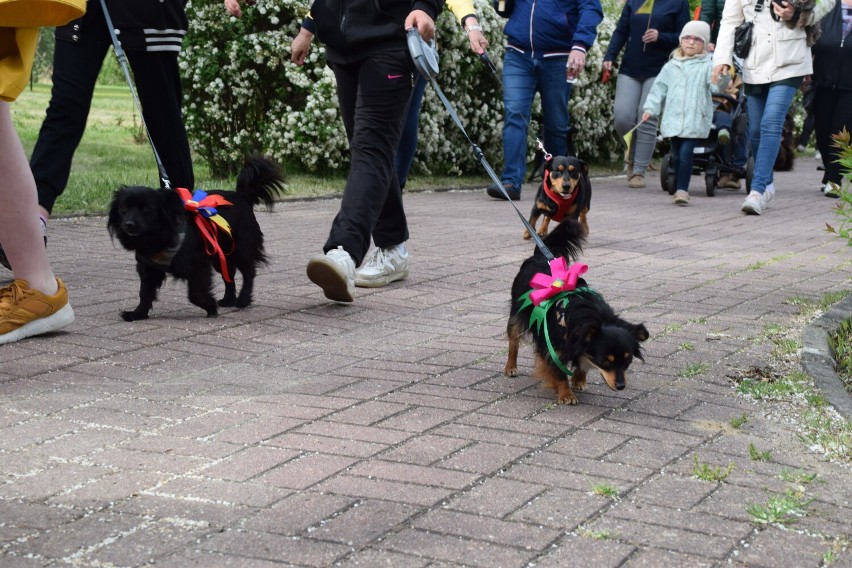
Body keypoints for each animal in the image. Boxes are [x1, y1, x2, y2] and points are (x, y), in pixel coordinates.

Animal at [106, 155, 284, 322]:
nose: (128, 224)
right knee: (229, 276)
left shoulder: (198, 266)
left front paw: (210, 307)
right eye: (123, 208)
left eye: (146, 209)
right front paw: (137, 314)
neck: (158, 238)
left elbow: (194, 294)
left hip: (242, 250)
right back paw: (228, 299)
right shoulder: (148, 268)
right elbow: (144, 293)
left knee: (248, 274)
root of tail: (242, 196)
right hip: (220, 255)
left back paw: (243, 300)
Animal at [506, 217, 644, 404]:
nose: (621, 386)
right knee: (513, 341)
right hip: (516, 314)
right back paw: (510, 367)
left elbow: (582, 362)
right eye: (605, 363)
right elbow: (559, 372)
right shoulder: (552, 347)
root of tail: (540, 257)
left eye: (627, 362)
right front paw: (566, 394)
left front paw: (579, 380)